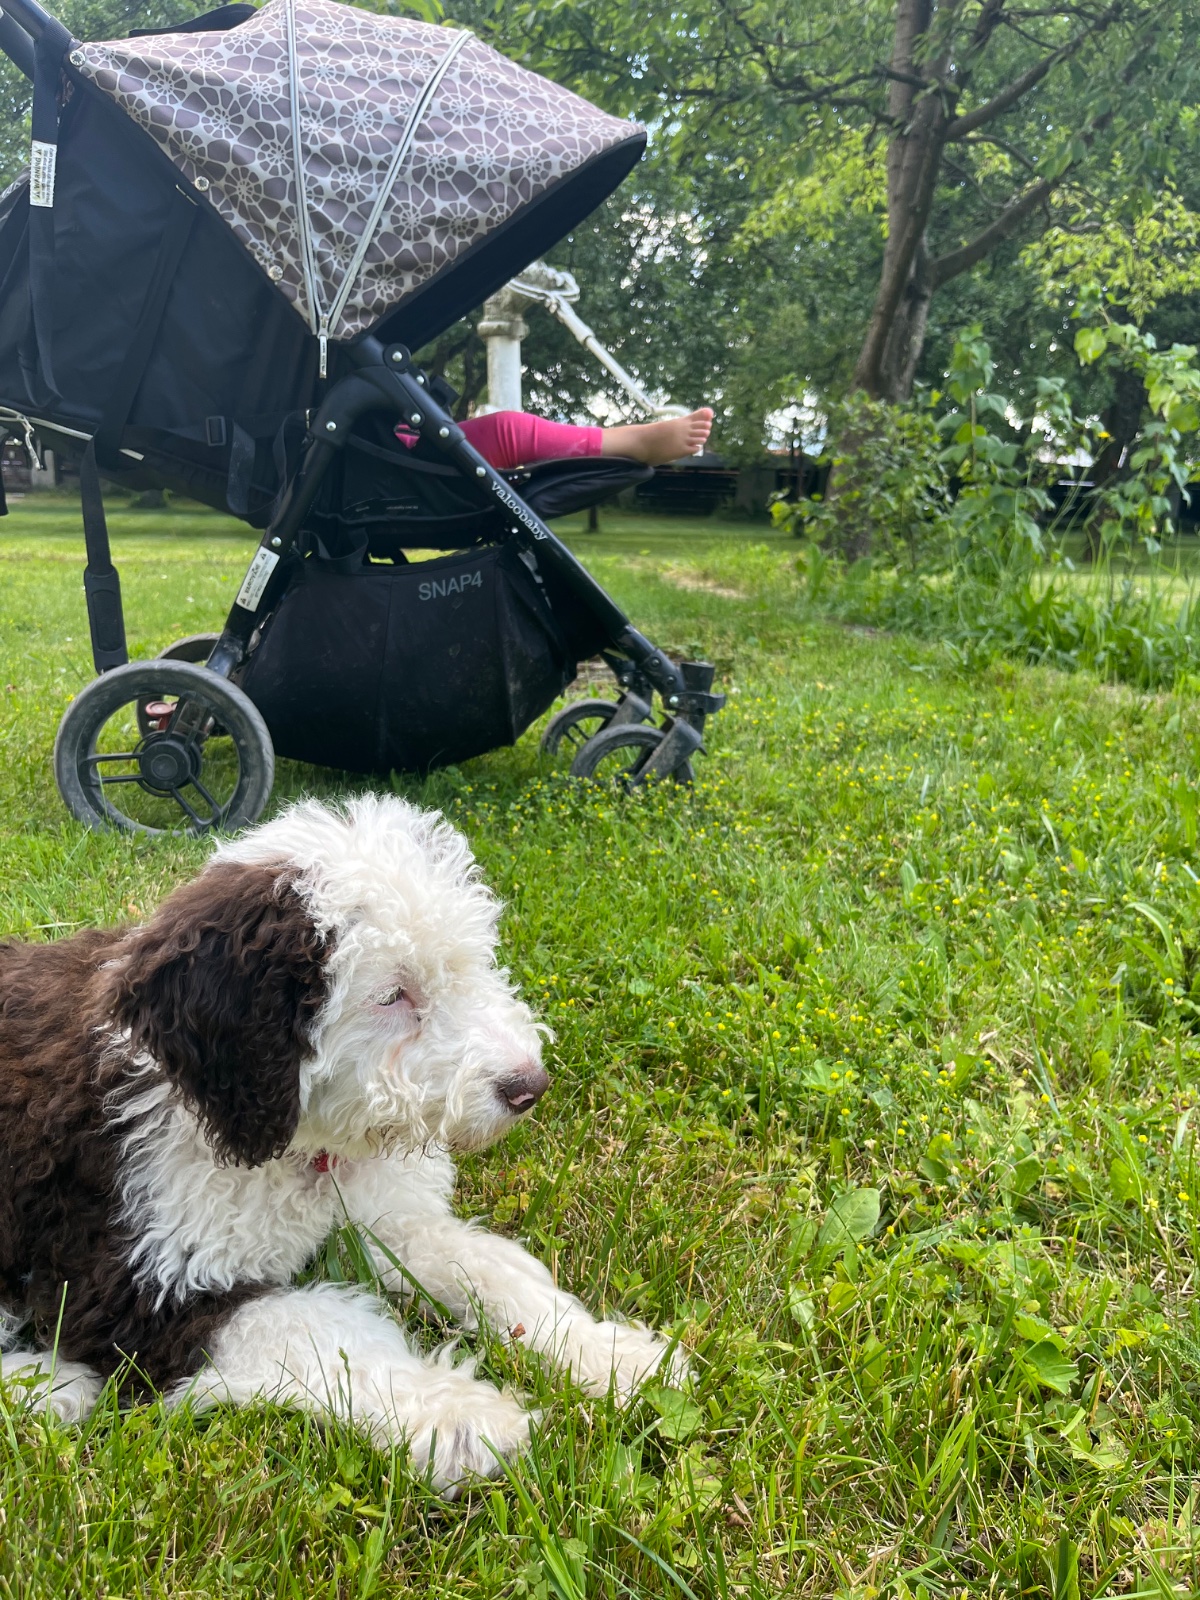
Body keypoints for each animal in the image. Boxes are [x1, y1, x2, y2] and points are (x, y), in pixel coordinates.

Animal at [0, 796, 682, 1491]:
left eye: (472, 963)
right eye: (391, 995)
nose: (528, 1086)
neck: (296, 1145)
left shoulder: (382, 1218)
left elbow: (483, 1265)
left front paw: (609, 1356)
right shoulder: (128, 1286)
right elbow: (310, 1325)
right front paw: (461, 1417)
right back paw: (49, 1385)